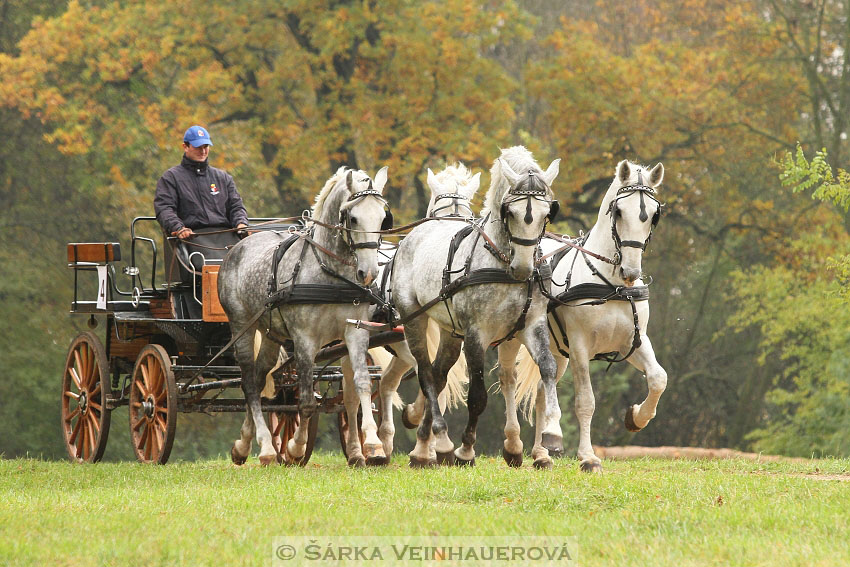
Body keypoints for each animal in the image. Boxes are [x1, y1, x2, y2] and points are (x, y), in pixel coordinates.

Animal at [219, 166, 390, 468]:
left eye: (383, 217)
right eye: (353, 217)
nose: (369, 273)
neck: (330, 273)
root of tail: (237, 248)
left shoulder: (355, 332)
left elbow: (361, 384)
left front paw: (373, 444)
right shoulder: (304, 339)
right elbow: (308, 401)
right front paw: (296, 447)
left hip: (271, 333)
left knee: (260, 379)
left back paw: (245, 444)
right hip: (241, 326)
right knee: (248, 382)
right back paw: (265, 447)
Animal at [390, 148, 564, 470]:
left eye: (546, 213)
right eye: (510, 212)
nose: (524, 268)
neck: (501, 263)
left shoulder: (532, 324)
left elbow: (548, 368)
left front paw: (553, 432)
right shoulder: (475, 335)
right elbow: (478, 397)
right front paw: (466, 449)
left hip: (449, 331)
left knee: (438, 374)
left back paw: (423, 446)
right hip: (413, 319)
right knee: (425, 373)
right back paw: (440, 440)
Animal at [512, 158, 664, 472]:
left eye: (653, 216)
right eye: (619, 211)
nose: (631, 270)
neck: (612, 284)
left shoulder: (634, 341)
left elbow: (658, 378)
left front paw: (636, 418)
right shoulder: (581, 347)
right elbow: (586, 401)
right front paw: (588, 457)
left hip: (555, 352)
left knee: (544, 393)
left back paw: (541, 453)